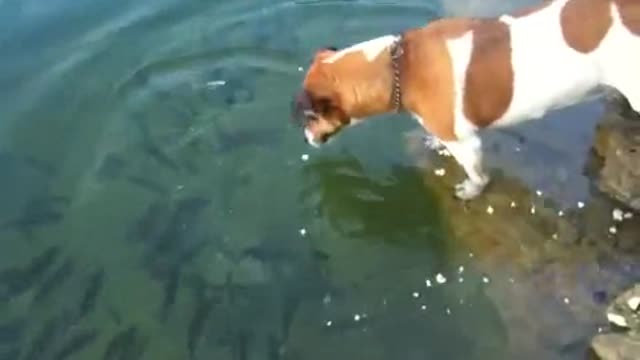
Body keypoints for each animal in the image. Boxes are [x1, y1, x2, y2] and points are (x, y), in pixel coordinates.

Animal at [292, 0, 640, 200]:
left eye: (309, 118)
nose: (305, 138)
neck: (402, 67)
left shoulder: (468, 144)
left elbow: (476, 173)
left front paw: (473, 190)